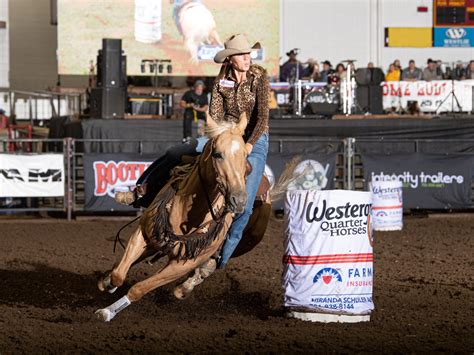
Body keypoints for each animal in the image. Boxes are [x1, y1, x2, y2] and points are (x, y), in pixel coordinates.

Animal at [97, 113, 252, 322]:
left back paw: (183, 289)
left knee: (206, 268)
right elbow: (119, 275)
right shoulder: (143, 233)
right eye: (218, 154)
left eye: (245, 155)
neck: (189, 212)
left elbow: (139, 289)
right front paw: (109, 284)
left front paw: (107, 312)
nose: (239, 200)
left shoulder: (182, 264)